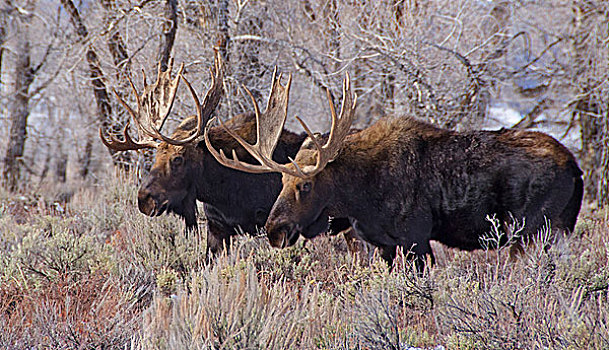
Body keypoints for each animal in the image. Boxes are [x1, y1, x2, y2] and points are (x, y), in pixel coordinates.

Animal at [97, 54, 350, 258]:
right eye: (156, 154)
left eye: (178, 158)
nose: (144, 199)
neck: (224, 191)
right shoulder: (217, 228)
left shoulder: (272, 224)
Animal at [205, 72, 584, 266]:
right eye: (281, 179)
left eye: (306, 185)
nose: (275, 230)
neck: (360, 196)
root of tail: (576, 168)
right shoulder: (383, 244)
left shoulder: (416, 239)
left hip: (531, 232)